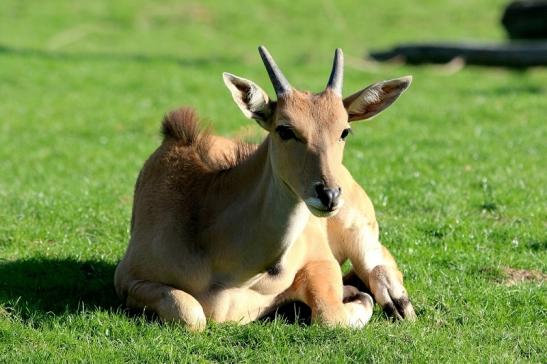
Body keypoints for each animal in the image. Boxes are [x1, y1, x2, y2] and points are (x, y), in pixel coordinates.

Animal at [114, 45, 416, 330]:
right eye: (285, 129)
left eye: (344, 131)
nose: (328, 194)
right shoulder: (128, 278)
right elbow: (191, 313)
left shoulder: (319, 259)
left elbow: (331, 315)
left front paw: (356, 297)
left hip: (358, 229)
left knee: (377, 259)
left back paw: (397, 301)